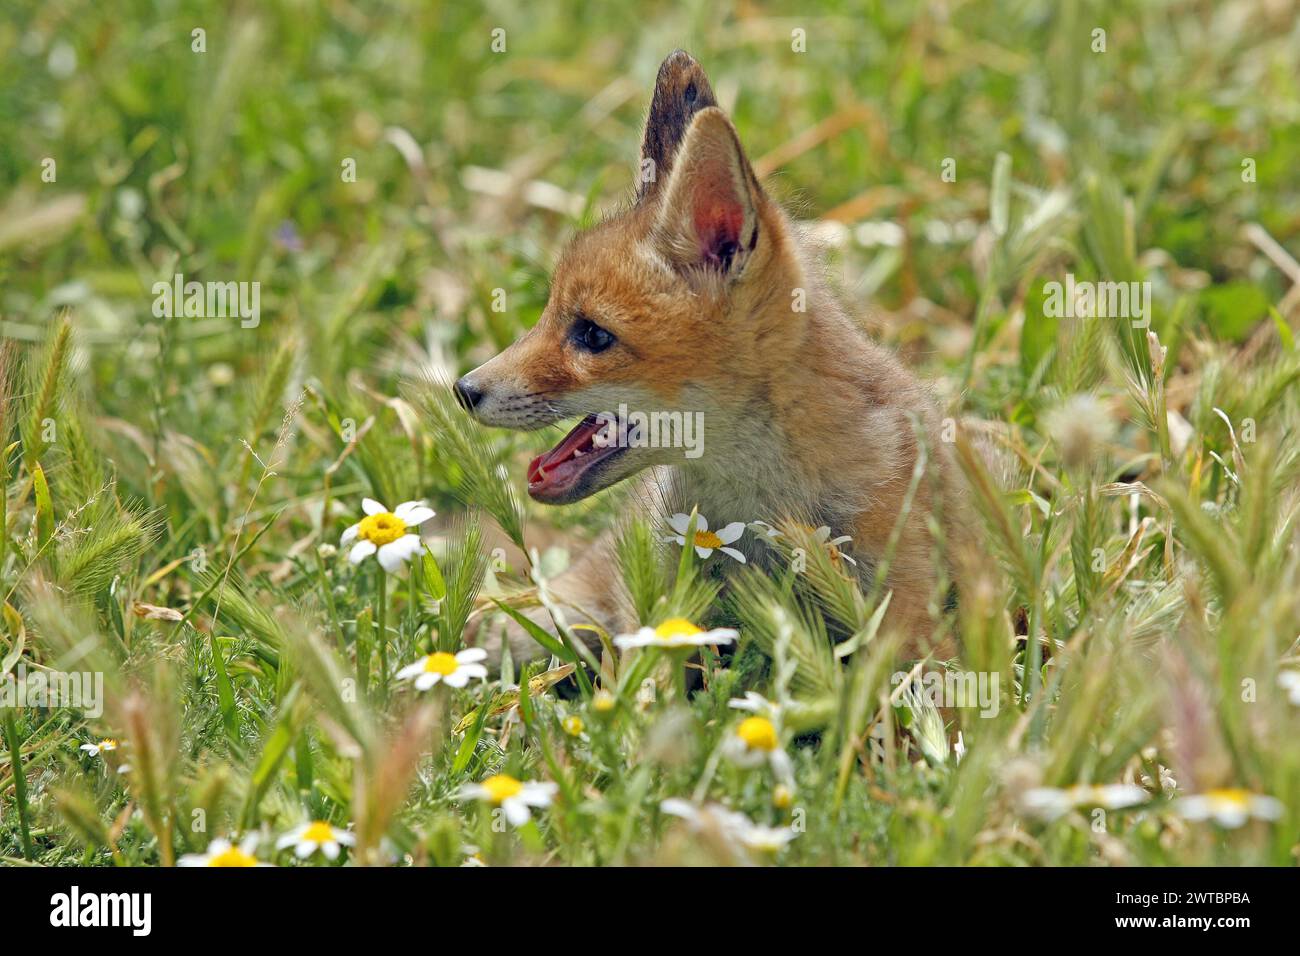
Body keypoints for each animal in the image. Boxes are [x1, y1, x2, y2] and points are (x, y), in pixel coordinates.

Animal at [452, 52, 972, 665]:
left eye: (592, 335)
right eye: (548, 312)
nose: (463, 389)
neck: (763, 504)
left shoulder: (911, 623)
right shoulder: (660, 603)